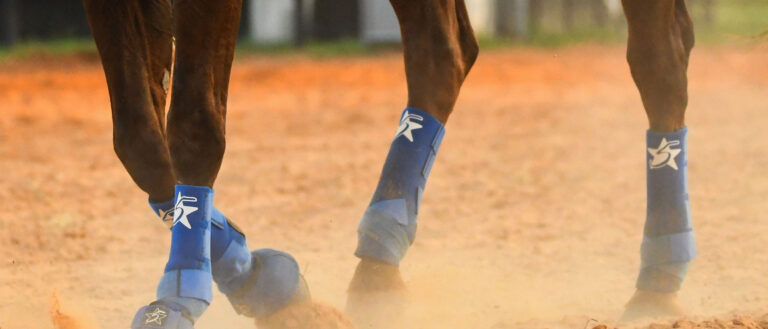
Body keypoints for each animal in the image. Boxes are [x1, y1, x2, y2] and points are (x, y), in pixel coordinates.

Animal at [82, 0, 696, 326]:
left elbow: (191, 124)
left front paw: (184, 296)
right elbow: (138, 135)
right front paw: (252, 276)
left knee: (661, 56)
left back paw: (660, 274)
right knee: (443, 52)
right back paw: (380, 259)